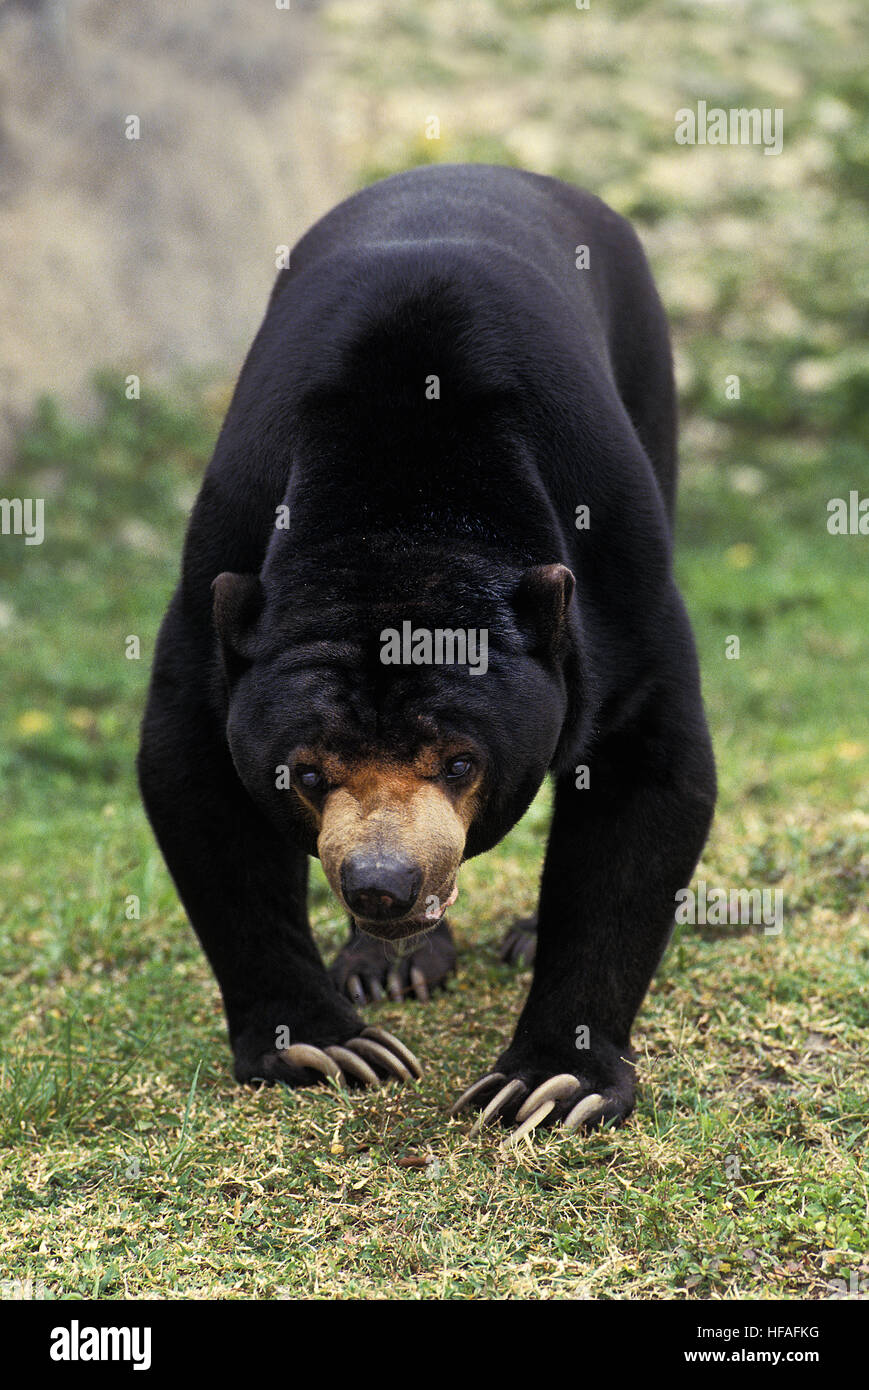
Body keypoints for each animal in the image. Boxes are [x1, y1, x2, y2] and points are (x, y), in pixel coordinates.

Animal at [139, 162, 717, 1139]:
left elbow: (647, 772)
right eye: (306, 772)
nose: (382, 884)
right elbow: (193, 771)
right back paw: (387, 965)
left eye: (457, 762)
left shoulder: (617, 563)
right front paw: (328, 1047)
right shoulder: (226, 555)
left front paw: (551, 1081)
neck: (402, 514)